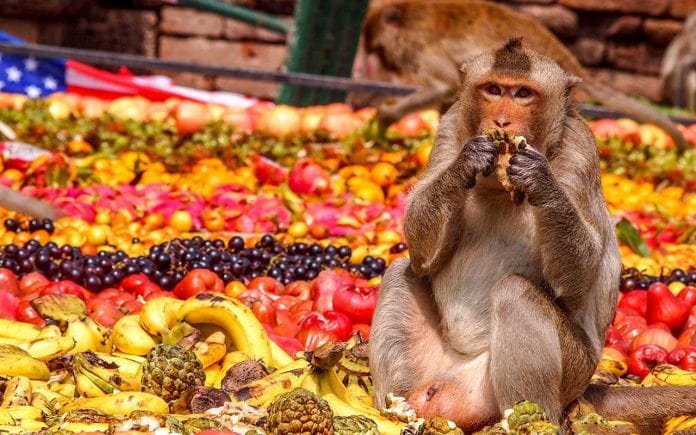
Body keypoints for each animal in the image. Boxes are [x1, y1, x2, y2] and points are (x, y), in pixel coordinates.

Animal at [368, 38, 696, 435]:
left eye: (523, 93)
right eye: (494, 90)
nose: (502, 121)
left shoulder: (580, 150)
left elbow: (578, 280)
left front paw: (538, 178)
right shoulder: (448, 127)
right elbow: (421, 255)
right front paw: (468, 160)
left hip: (571, 372)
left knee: (516, 293)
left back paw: (528, 421)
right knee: (400, 272)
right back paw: (396, 410)